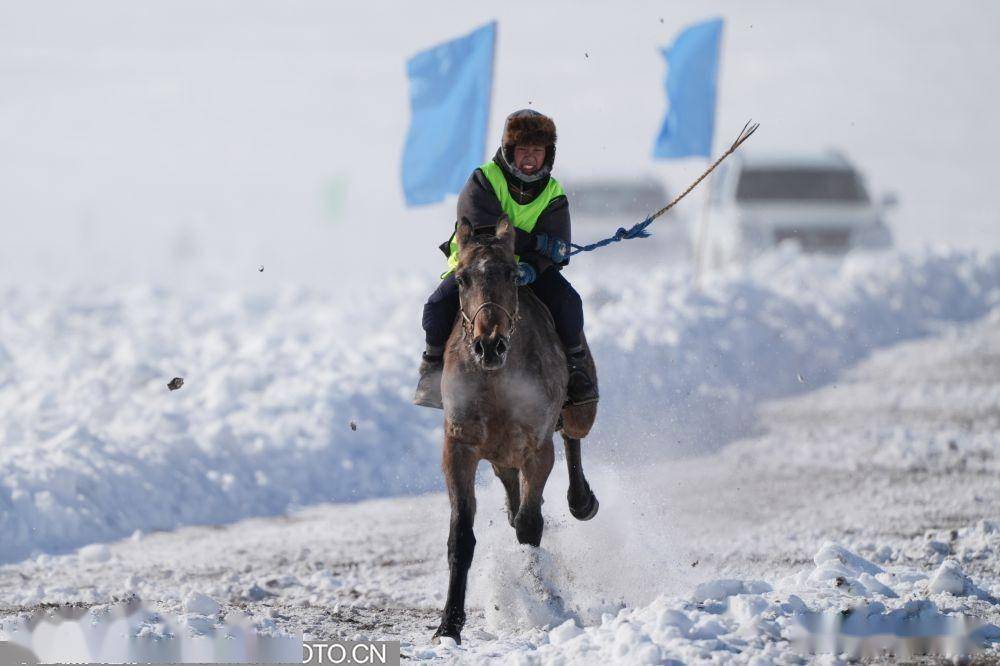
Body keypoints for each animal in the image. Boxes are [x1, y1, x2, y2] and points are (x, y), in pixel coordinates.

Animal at [432, 216, 600, 645]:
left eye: (512, 272)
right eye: (462, 279)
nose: (488, 345)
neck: (495, 380)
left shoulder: (536, 449)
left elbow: (530, 526)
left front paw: (543, 599)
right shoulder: (459, 447)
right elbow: (461, 535)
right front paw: (448, 626)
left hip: (580, 409)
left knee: (572, 436)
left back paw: (581, 500)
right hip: (497, 451)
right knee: (507, 480)